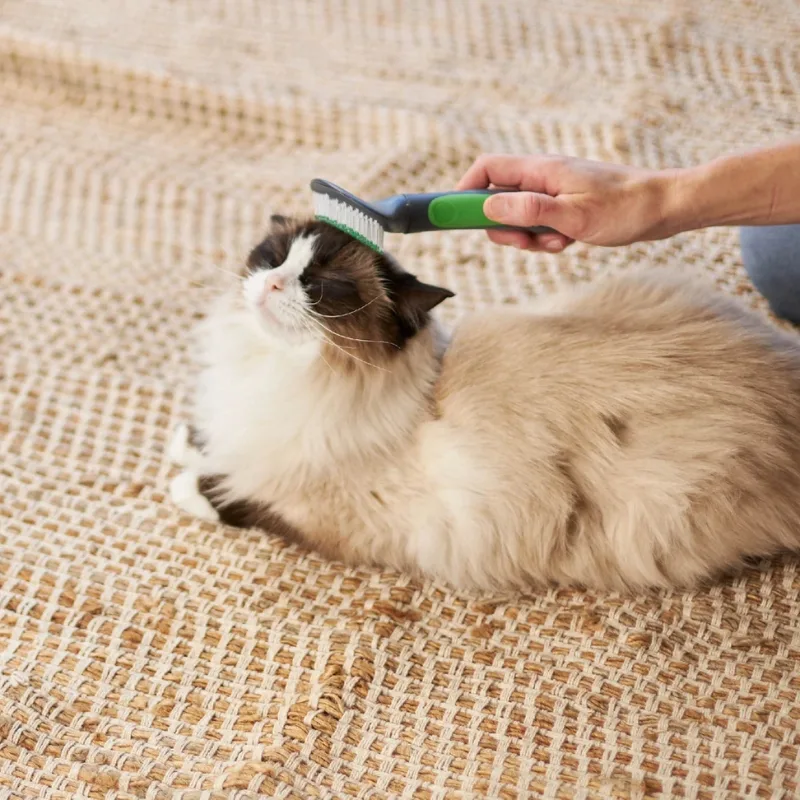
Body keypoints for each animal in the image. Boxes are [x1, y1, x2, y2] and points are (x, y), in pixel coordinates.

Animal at [167, 216, 800, 592]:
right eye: (272, 256)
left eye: (322, 287)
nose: (271, 285)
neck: (278, 370)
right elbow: (210, 444)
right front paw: (183, 442)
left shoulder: (322, 513)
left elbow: (229, 495)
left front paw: (180, 482)